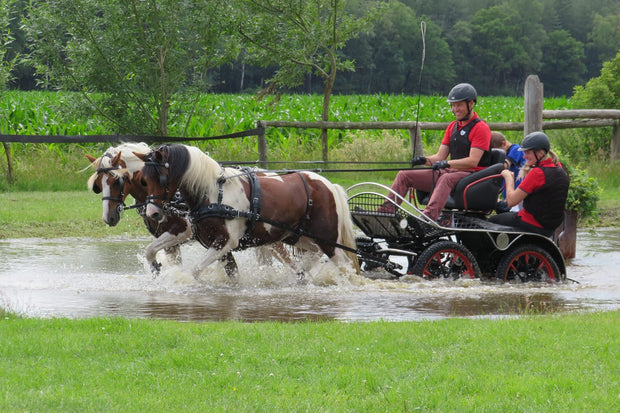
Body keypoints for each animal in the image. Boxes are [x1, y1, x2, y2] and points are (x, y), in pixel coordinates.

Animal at [136, 143, 358, 278]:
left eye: (161, 178)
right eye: (143, 180)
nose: (152, 213)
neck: (213, 192)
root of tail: (328, 185)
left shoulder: (226, 241)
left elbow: (196, 270)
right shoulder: (213, 242)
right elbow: (231, 273)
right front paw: (155, 268)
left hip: (327, 239)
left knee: (345, 265)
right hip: (298, 236)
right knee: (312, 255)